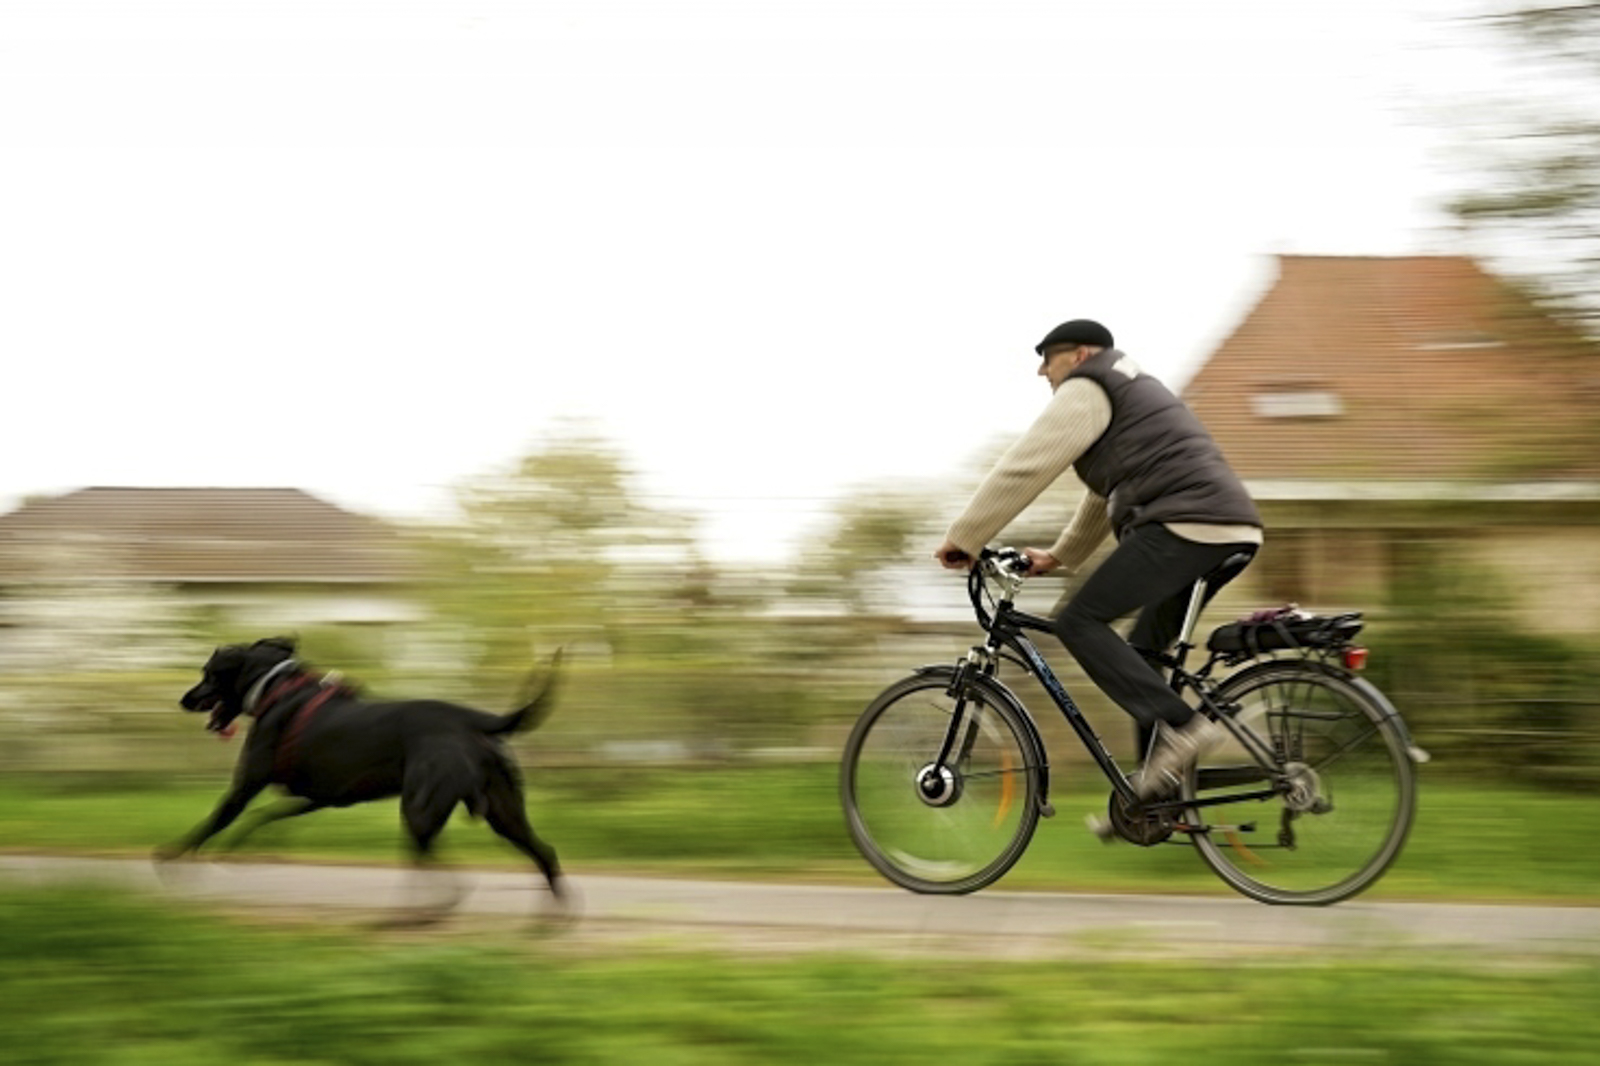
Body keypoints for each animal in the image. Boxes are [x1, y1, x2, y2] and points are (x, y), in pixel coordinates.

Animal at [158, 636, 566, 920]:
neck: (276, 689)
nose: (184, 700)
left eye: (208, 673)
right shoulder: (319, 797)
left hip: (420, 810)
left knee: (449, 881)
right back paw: (549, 921)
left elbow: (216, 820)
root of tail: (473, 719)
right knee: (544, 853)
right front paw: (244, 849)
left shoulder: (246, 786)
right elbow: (267, 816)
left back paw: (408, 920)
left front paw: (175, 858)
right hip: (503, 811)